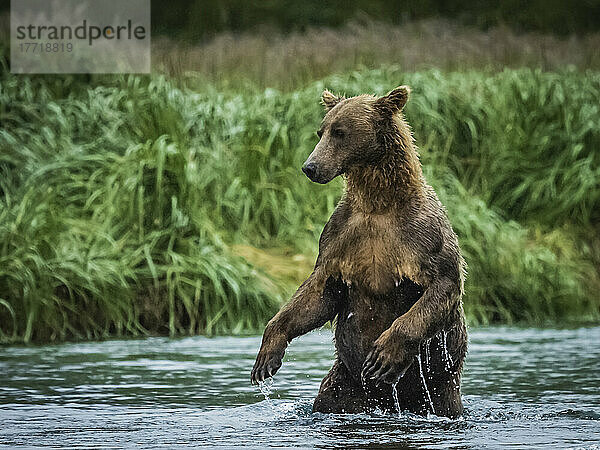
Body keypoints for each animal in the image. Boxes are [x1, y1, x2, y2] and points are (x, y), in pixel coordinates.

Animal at [251, 85, 466, 418]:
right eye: (321, 130)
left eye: (340, 132)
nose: (310, 167)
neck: (378, 204)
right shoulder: (340, 237)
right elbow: (319, 294)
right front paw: (266, 356)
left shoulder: (424, 235)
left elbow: (442, 285)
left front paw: (384, 355)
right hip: (345, 383)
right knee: (330, 398)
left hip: (441, 384)